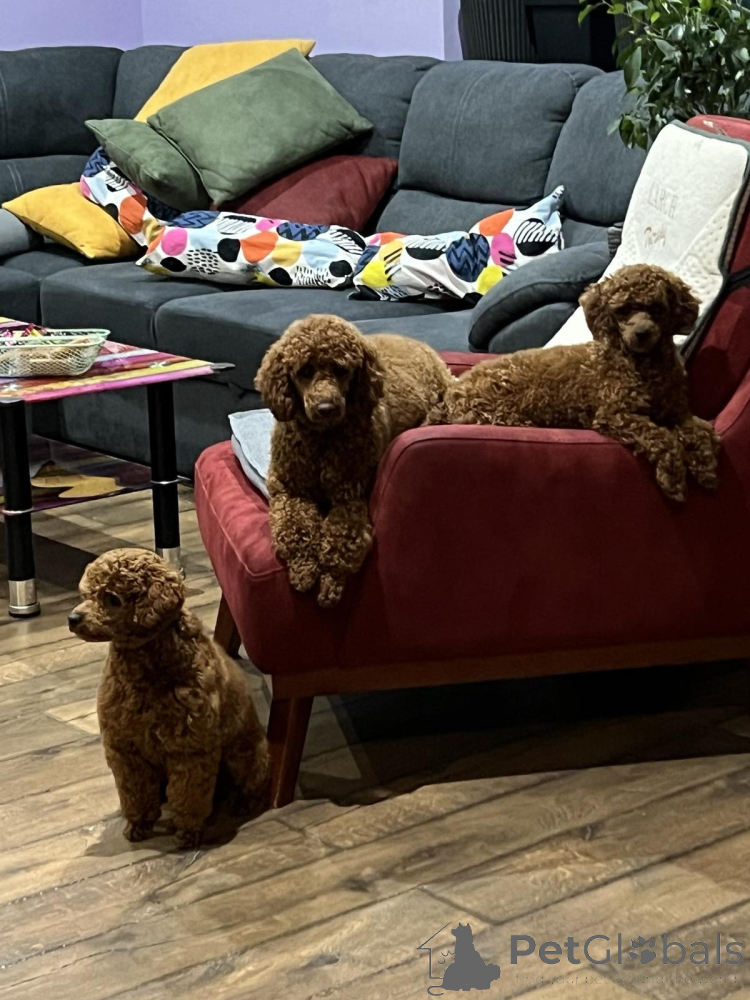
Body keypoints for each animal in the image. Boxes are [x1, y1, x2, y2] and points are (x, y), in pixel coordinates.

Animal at [69, 548, 270, 848]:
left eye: (112, 599)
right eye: (85, 594)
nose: (73, 619)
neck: (144, 673)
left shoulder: (190, 750)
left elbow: (188, 797)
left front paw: (187, 832)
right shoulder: (125, 750)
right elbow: (136, 795)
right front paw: (139, 825)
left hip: (245, 757)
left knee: (251, 785)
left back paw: (242, 803)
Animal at [255, 314, 452, 607]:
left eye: (341, 370)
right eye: (305, 371)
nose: (326, 408)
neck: (323, 440)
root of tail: (419, 343)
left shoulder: (349, 497)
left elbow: (341, 539)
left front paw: (330, 581)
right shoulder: (289, 489)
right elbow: (295, 528)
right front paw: (304, 568)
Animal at [427, 264, 719, 501]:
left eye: (657, 309)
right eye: (623, 310)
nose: (642, 333)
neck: (644, 364)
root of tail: (451, 392)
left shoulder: (677, 413)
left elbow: (703, 432)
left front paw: (706, 469)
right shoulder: (615, 414)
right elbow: (662, 437)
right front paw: (674, 478)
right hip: (500, 415)